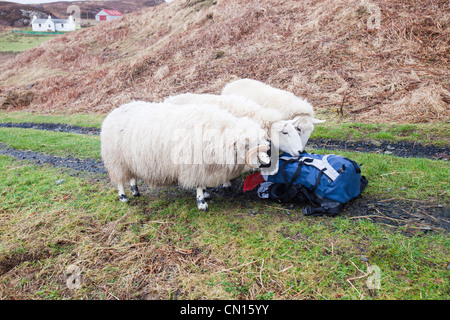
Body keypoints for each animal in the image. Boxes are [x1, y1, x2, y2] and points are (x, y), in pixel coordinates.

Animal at [100, 100, 300, 210]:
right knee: (119, 180)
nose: (270, 165)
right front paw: (202, 202)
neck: (220, 135)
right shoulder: (194, 165)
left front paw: (205, 193)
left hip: (128, 159)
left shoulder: (205, 164)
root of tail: (114, 111)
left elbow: (203, 183)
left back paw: (135, 191)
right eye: (253, 145)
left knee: (131, 176)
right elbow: (197, 184)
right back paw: (124, 196)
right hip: (116, 159)